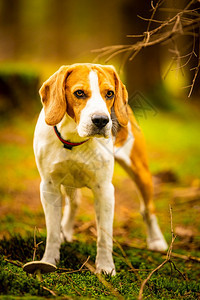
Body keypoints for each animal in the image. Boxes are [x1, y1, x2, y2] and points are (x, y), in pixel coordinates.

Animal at [34, 63, 167, 274]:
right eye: (79, 93)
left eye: (109, 93)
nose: (101, 120)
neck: (74, 139)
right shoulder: (49, 187)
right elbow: (52, 232)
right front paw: (48, 262)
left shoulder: (104, 190)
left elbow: (104, 236)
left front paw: (105, 268)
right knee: (74, 204)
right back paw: (66, 230)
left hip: (141, 173)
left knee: (148, 209)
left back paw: (156, 241)